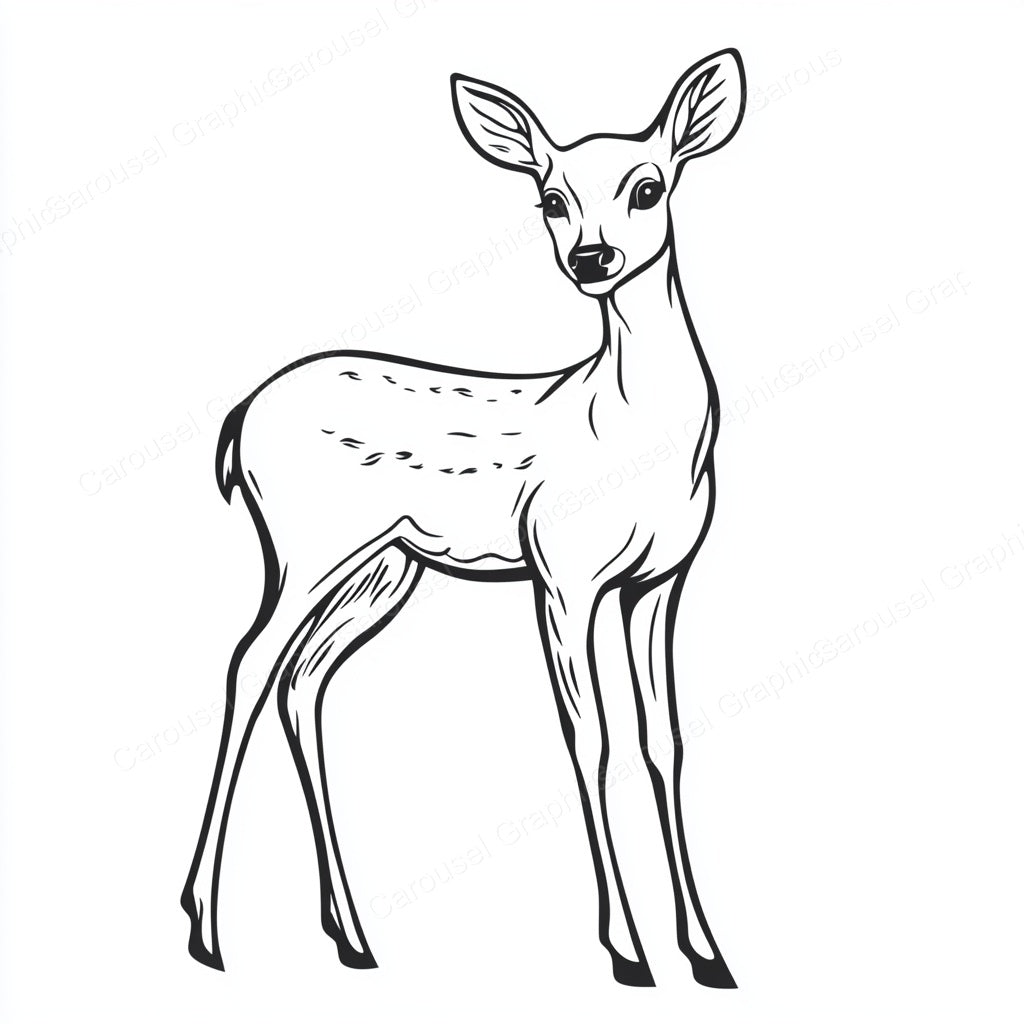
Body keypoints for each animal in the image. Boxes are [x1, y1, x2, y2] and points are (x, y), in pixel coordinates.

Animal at [181, 48, 746, 989]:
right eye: (549, 197)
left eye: (649, 186)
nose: (592, 256)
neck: (635, 437)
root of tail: (237, 423)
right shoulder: (562, 571)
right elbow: (589, 738)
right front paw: (627, 951)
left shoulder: (662, 579)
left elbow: (662, 740)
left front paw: (707, 952)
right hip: (305, 545)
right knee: (249, 664)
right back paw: (205, 929)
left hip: (382, 569)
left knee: (304, 682)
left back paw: (351, 936)